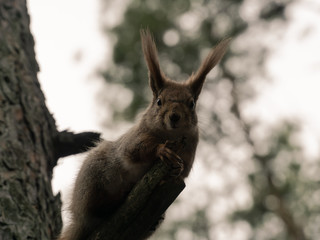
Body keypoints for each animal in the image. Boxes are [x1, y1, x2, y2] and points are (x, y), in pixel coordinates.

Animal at [58, 29, 230, 240]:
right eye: (159, 101)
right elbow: (135, 150)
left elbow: (185, 171)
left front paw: (177, 168)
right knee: (96, 208)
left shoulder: (190, 148)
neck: (170, 136)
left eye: (191, 104)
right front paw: (162, 150)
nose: (174, 116)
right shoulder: (134, 138)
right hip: (95, 177)